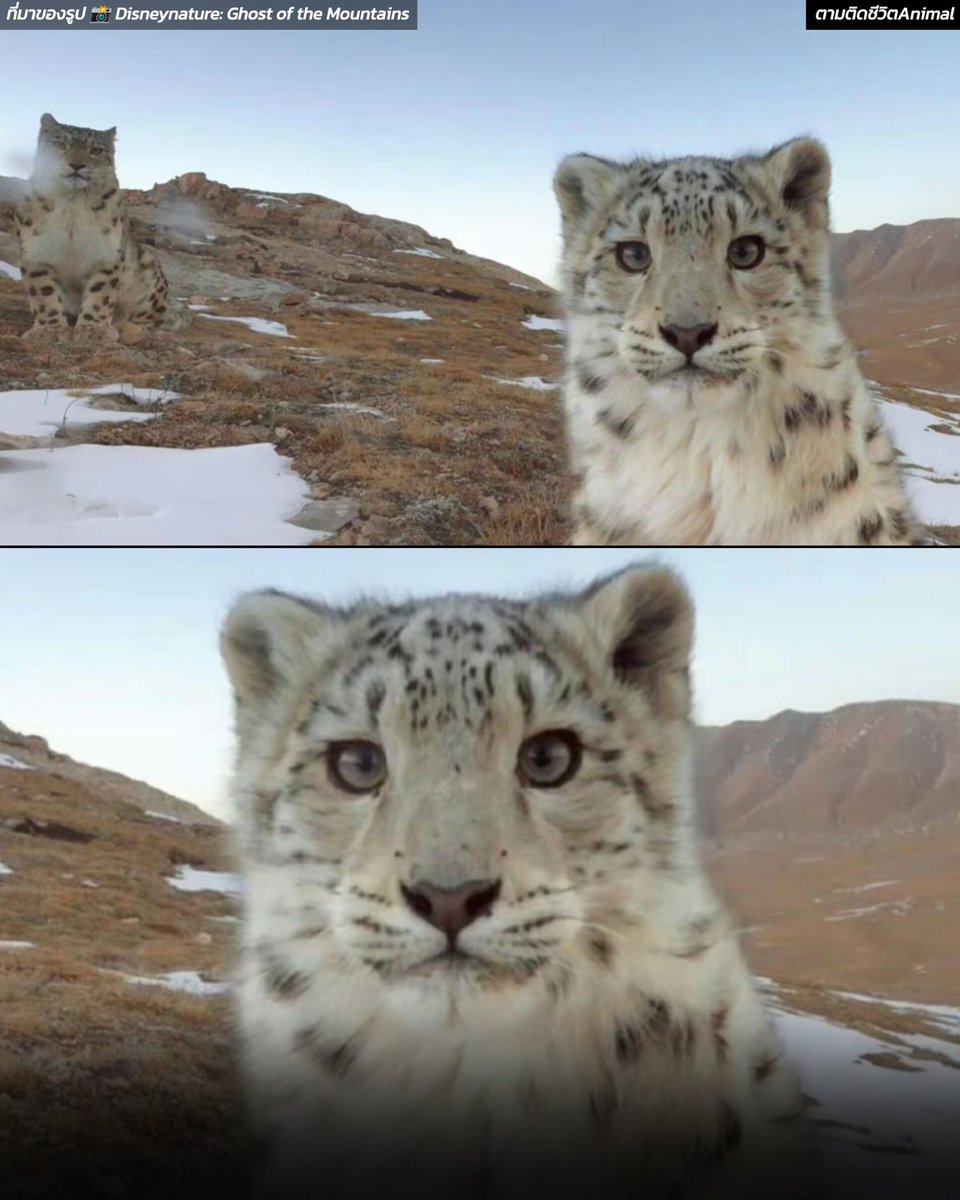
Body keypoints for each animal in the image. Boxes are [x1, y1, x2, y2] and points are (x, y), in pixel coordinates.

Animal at [15, 113, 186, 347]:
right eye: (60, 144)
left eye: (95, 150)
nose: (76, 164)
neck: (72, 203)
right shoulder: (37, 251)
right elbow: (43, 293)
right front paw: (49, 330)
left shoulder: (105, 251)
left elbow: (100, 293)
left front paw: (93, 329)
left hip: (150, 270)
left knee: (152, 318)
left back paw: (130, 329)